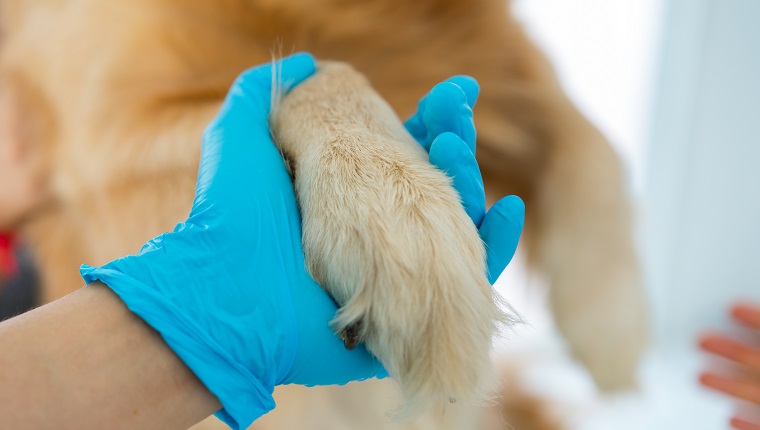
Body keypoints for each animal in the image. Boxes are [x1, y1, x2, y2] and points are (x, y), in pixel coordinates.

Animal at [0, 0, 648, 426]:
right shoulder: (108, 149)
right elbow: (316, 73)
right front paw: (404, 223)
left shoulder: (495, 50)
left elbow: (584, 128)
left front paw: (612, 324)